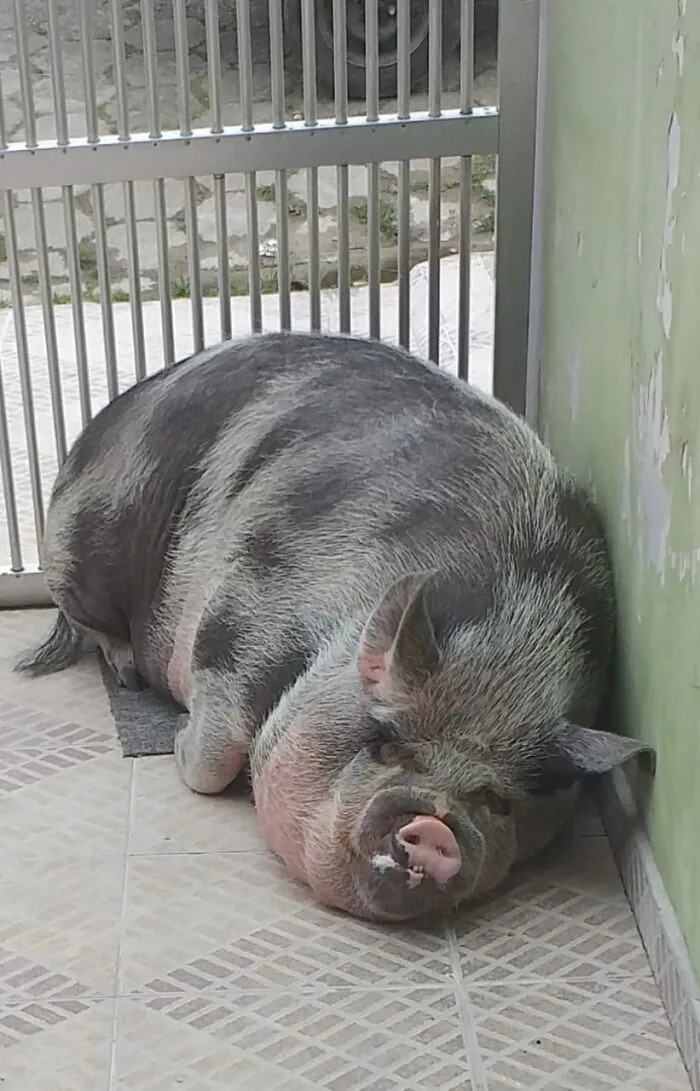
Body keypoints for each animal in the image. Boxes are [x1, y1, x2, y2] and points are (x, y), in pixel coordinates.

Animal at [14, 329, 649, 920]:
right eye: (388, 745)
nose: (435, 828)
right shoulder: (242, 610)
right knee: (86, 620)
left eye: (496, 799)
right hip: (81, 545)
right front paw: (175, 738)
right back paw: (127, 674)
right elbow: (215, 755)